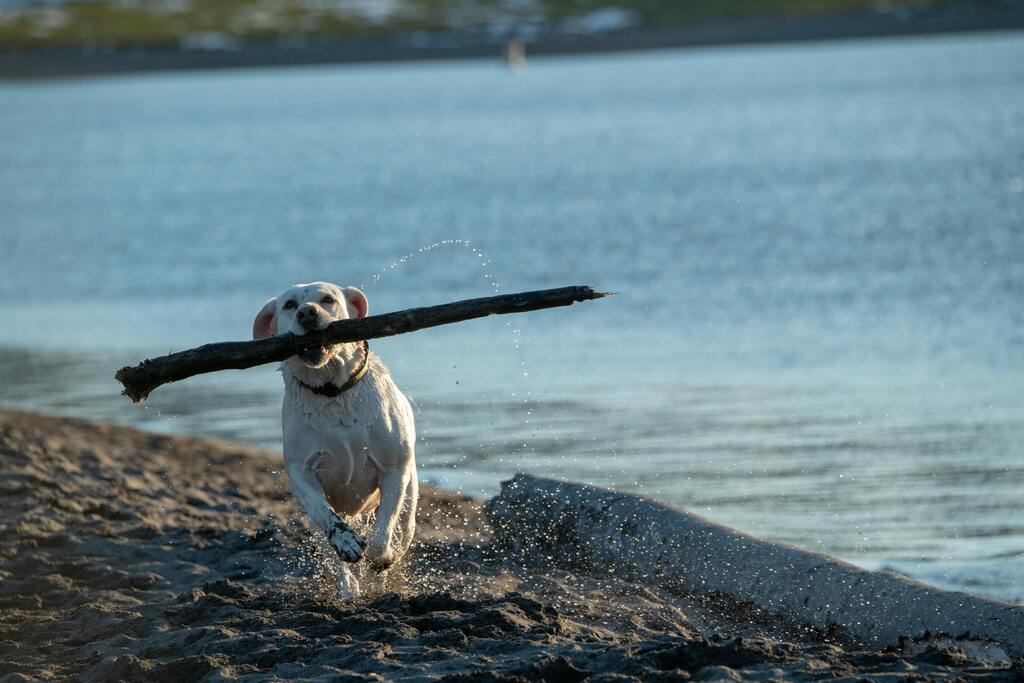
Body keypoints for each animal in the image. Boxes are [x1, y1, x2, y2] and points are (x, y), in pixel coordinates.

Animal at [251, 278, 415, 598]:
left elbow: (382, 533)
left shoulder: (394, 468)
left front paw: (381, 557)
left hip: (410, 497)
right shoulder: (301, 471)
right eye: (289, 305)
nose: (306, 313)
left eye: (328, 299)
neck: (332, 390)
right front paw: (346, 541)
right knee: (331, 551)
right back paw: (349, 587)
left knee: (402, 530)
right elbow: (322, 511)